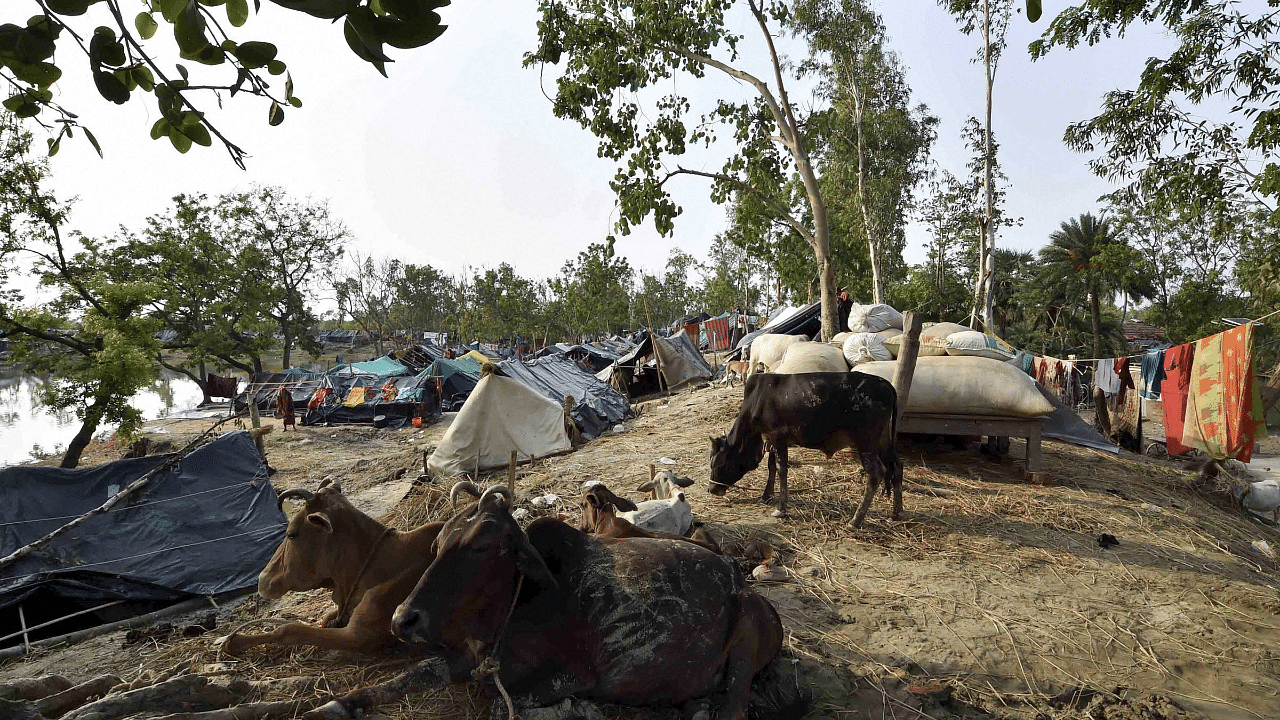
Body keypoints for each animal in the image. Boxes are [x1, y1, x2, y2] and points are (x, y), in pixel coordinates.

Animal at [227, 479, 448, 653]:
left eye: (291, 533)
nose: (262, 579)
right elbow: (325, 619)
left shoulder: (359, 635)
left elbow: (289, 630)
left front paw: (235, 642)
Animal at [711, 366, 901, 525]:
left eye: (719, 465)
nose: (711, 489)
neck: (756, 399)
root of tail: (886, 384)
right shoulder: (771, 439)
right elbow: (771, 466)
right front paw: (766, 496)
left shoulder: (778, 436)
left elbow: (781, 470)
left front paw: (781, 508)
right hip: (882, 440)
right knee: (897, 466)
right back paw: (896, 513)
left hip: (866, 442)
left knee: (875, 475)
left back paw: (856, 520)